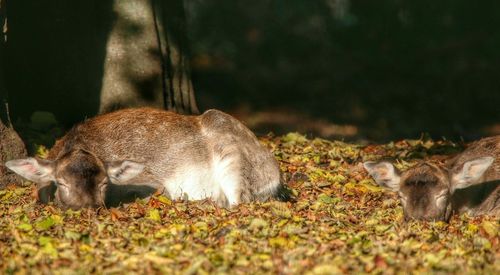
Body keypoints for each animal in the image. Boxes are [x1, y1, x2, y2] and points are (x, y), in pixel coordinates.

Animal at [4, 108, 290, 209]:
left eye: (104, 183)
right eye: (61, 183)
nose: (87, 208)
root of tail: (275, 174)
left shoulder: (152, 182)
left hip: (235, 165)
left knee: (239, 201)